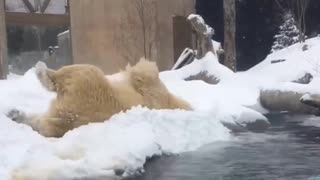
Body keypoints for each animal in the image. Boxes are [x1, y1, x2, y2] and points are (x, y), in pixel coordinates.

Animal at [7, 58, 191, 136]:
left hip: (87, 80)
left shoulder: (155, 93)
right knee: (43, 121)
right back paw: (15, 114)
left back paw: (41, 70)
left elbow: (145, 74)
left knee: (71, 73)